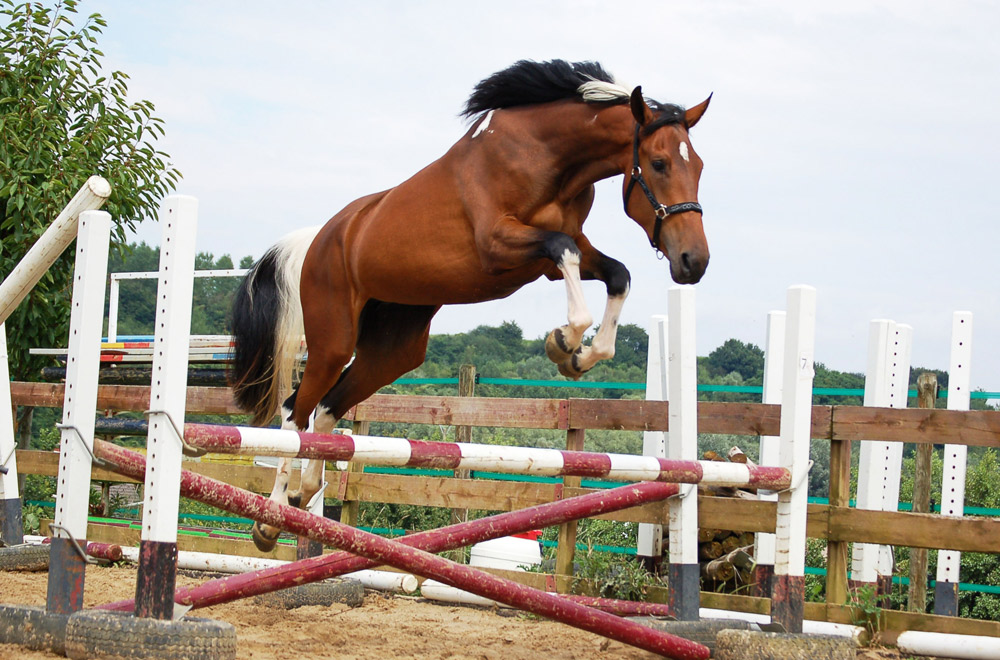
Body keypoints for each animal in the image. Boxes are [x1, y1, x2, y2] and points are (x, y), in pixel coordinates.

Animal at [229, 59, 711, 551]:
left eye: (698, 167)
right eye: (658, 163)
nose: (694, 262)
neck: (549, 156)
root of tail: (320, 238)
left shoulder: (555, 258)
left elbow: (616, 274)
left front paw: (580, 356)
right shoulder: (500, 244)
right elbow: (566, 254)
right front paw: (564, 340)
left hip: (393, 351)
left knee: (328, 408)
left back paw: (303, 493)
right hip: (333, 342)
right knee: (296, 411)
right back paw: (270, 519)